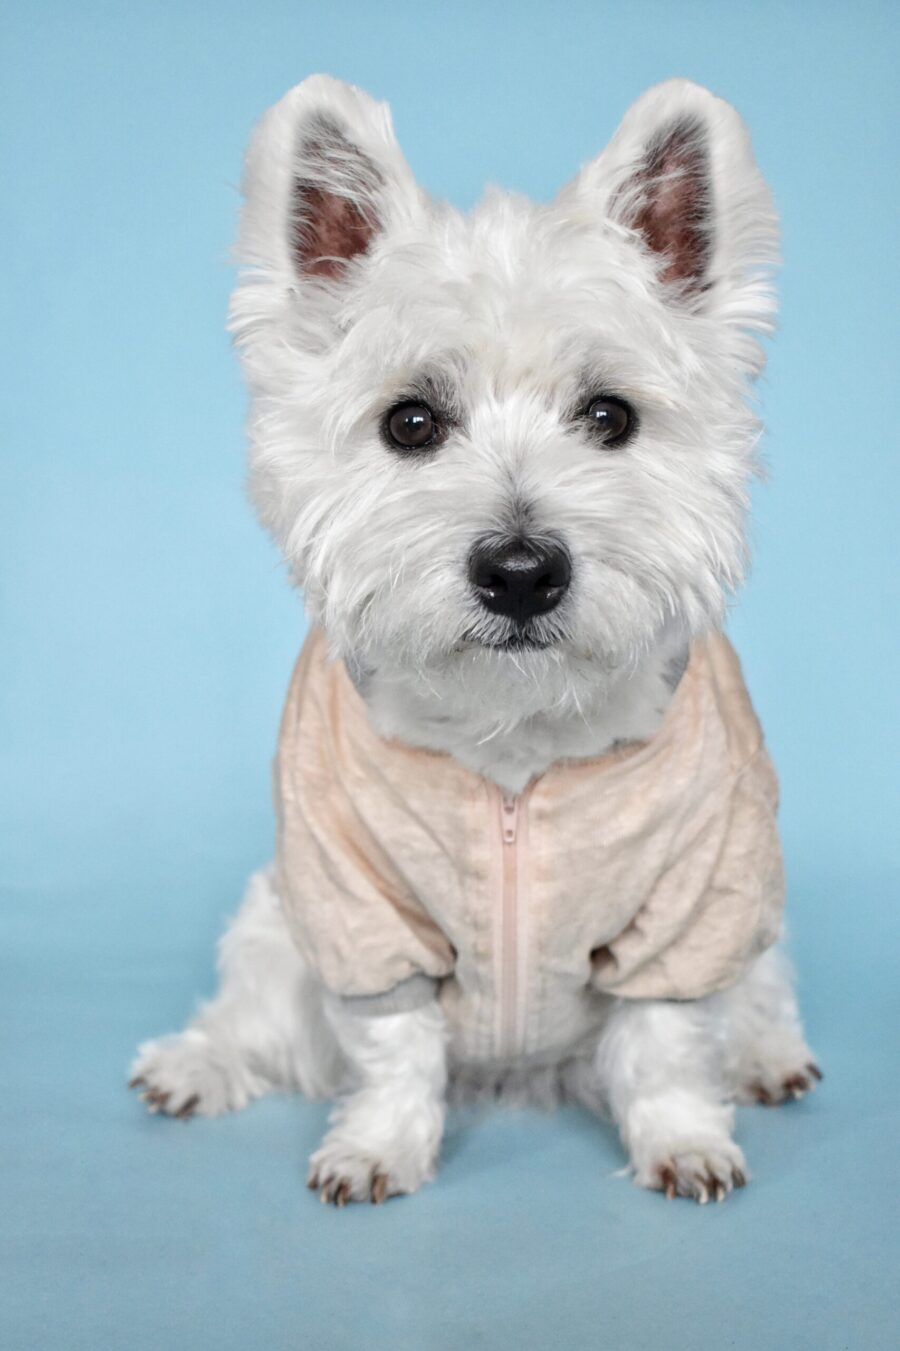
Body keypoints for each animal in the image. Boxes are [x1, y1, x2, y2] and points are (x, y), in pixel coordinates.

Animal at [127, 73, 821, 1205]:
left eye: (610, 415)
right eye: (410, 421)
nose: (522, 571)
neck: (514, 747)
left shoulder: (694, 900)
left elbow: (667, 1042)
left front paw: (682, 1139)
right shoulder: (354, 903)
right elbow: (392, 1044)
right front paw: (378, 1146)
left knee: (758, 986)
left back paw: (768, 1057)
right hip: (274, 923)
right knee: (258, 1014)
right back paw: (194, 1063)